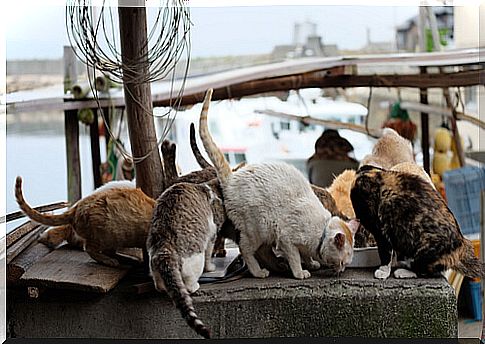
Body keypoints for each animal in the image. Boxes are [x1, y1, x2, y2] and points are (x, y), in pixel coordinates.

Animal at [147, 179, 228, 340]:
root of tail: (165, 247)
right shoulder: (212, 233)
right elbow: (210, 253)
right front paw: (211, 268)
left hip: (154, 262)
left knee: (161, 284)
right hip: (196, 256)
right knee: (189, 284)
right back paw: (195, 285)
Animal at [198, 88, 360, 280]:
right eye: (342, 262)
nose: (341, 271)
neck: (321, 231)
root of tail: (233, 176)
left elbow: (306, 255)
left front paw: (312, 263)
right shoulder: (286, 240)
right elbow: (295, 258)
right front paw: (300, 272)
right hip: (258, 229)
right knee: (246, 250)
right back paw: (259, 272)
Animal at [350, 165, 482, 280]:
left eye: (359, 206)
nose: (358, 219)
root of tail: (462, 244)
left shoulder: (381, 230)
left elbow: (385, 252)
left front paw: (383, 271)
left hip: (425, 249)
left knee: (426, 272)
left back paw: (403, 271)